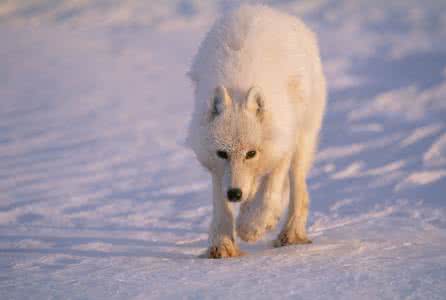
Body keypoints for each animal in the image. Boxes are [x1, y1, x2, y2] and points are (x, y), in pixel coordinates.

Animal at [186, 4, 326, 258]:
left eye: (251, 153)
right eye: (223, 153)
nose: (234, 194)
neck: (238, 85)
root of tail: (273, 11)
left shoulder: (282, 143)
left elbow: (270, 189)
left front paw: (252, 225)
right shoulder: (216, 168)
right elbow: (220, 205)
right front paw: (222, 244)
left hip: (303, 139)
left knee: (298, 189)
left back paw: (290, 233)